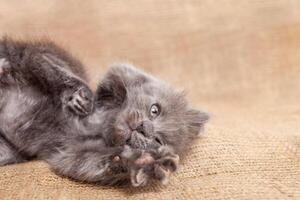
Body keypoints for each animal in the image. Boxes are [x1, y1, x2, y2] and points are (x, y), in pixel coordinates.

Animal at [0, 38, 209, 186]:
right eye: (154, 110)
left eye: (158, 140)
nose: (144, 127)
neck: (101, 126)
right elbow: (51, 64)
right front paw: (78, 97)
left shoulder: (70, 154)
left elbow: (92, 163)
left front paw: (143, 162)